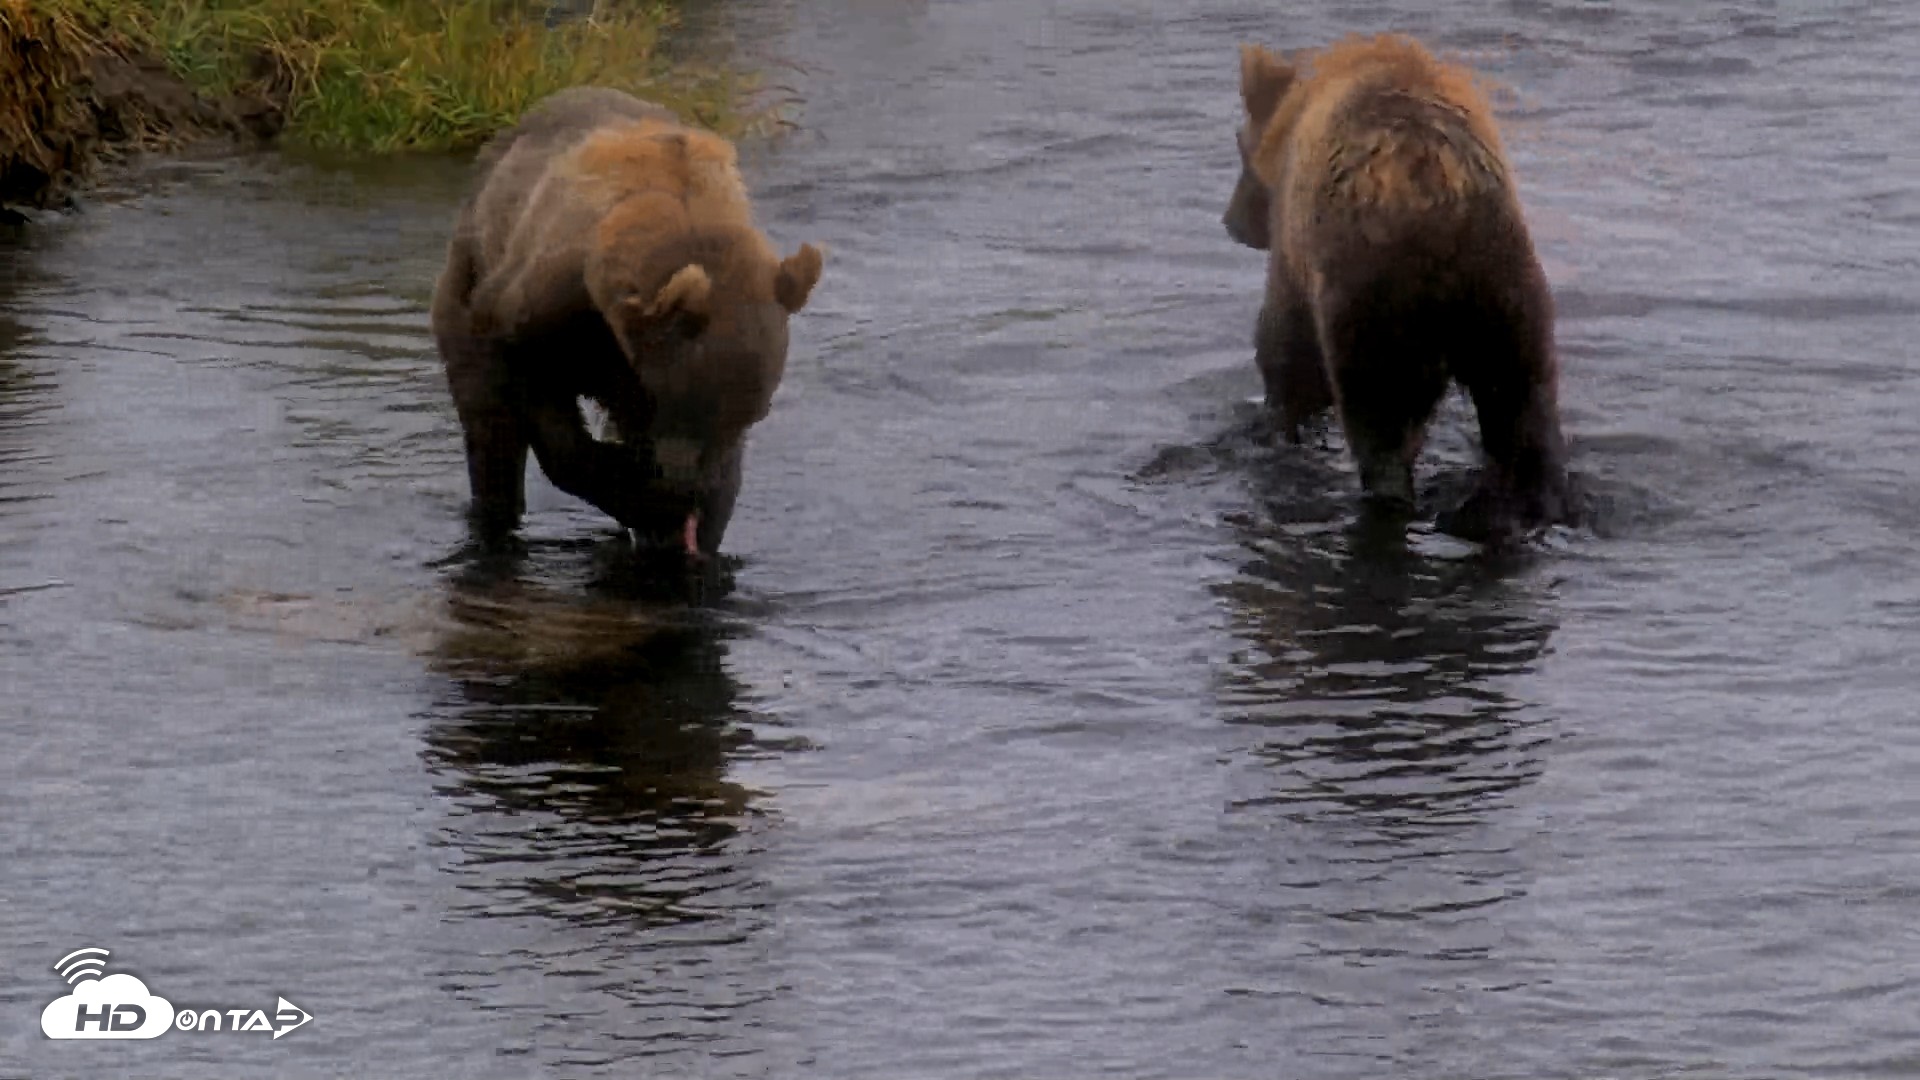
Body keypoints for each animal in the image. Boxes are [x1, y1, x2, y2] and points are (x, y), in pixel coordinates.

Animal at [430, 86, 824, 557]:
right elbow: (538, 405)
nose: (691, 491)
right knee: (488, 425)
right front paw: (636, 494)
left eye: (755, 413)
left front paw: (686, 524)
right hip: (468, 271)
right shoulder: (544, 309)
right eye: (680, 399)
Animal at [1221, 34, 1571, 535]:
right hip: (1506, 289)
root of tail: (1443, 207)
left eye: (1238, 144)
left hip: (1375, 298)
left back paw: (1387, 498)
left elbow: (1286, 348)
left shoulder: (1298, 248)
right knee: (1525, 404)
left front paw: (1275, 418)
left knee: (1380, 418)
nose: (1230, 221)